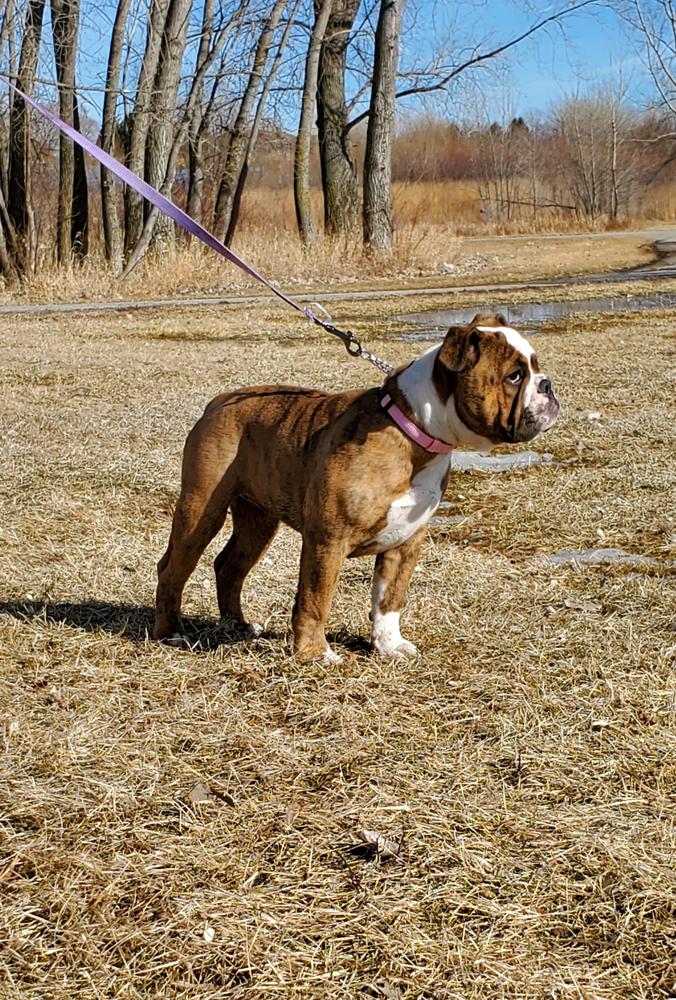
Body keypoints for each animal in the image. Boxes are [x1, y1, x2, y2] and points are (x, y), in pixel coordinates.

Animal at [154, 308, 560, 660]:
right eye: (513, 376)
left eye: (536, 367)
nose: (548, 385)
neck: (414, 430)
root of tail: (219, 401)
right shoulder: (327, 541)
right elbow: (316, 598)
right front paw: (314, 654)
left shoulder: (405, 543)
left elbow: (389, 600)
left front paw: (389, 645)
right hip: (201, 512)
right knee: (172, 569)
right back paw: (170, 633)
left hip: (258, 522)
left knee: (229, 566)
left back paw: (238, 626)